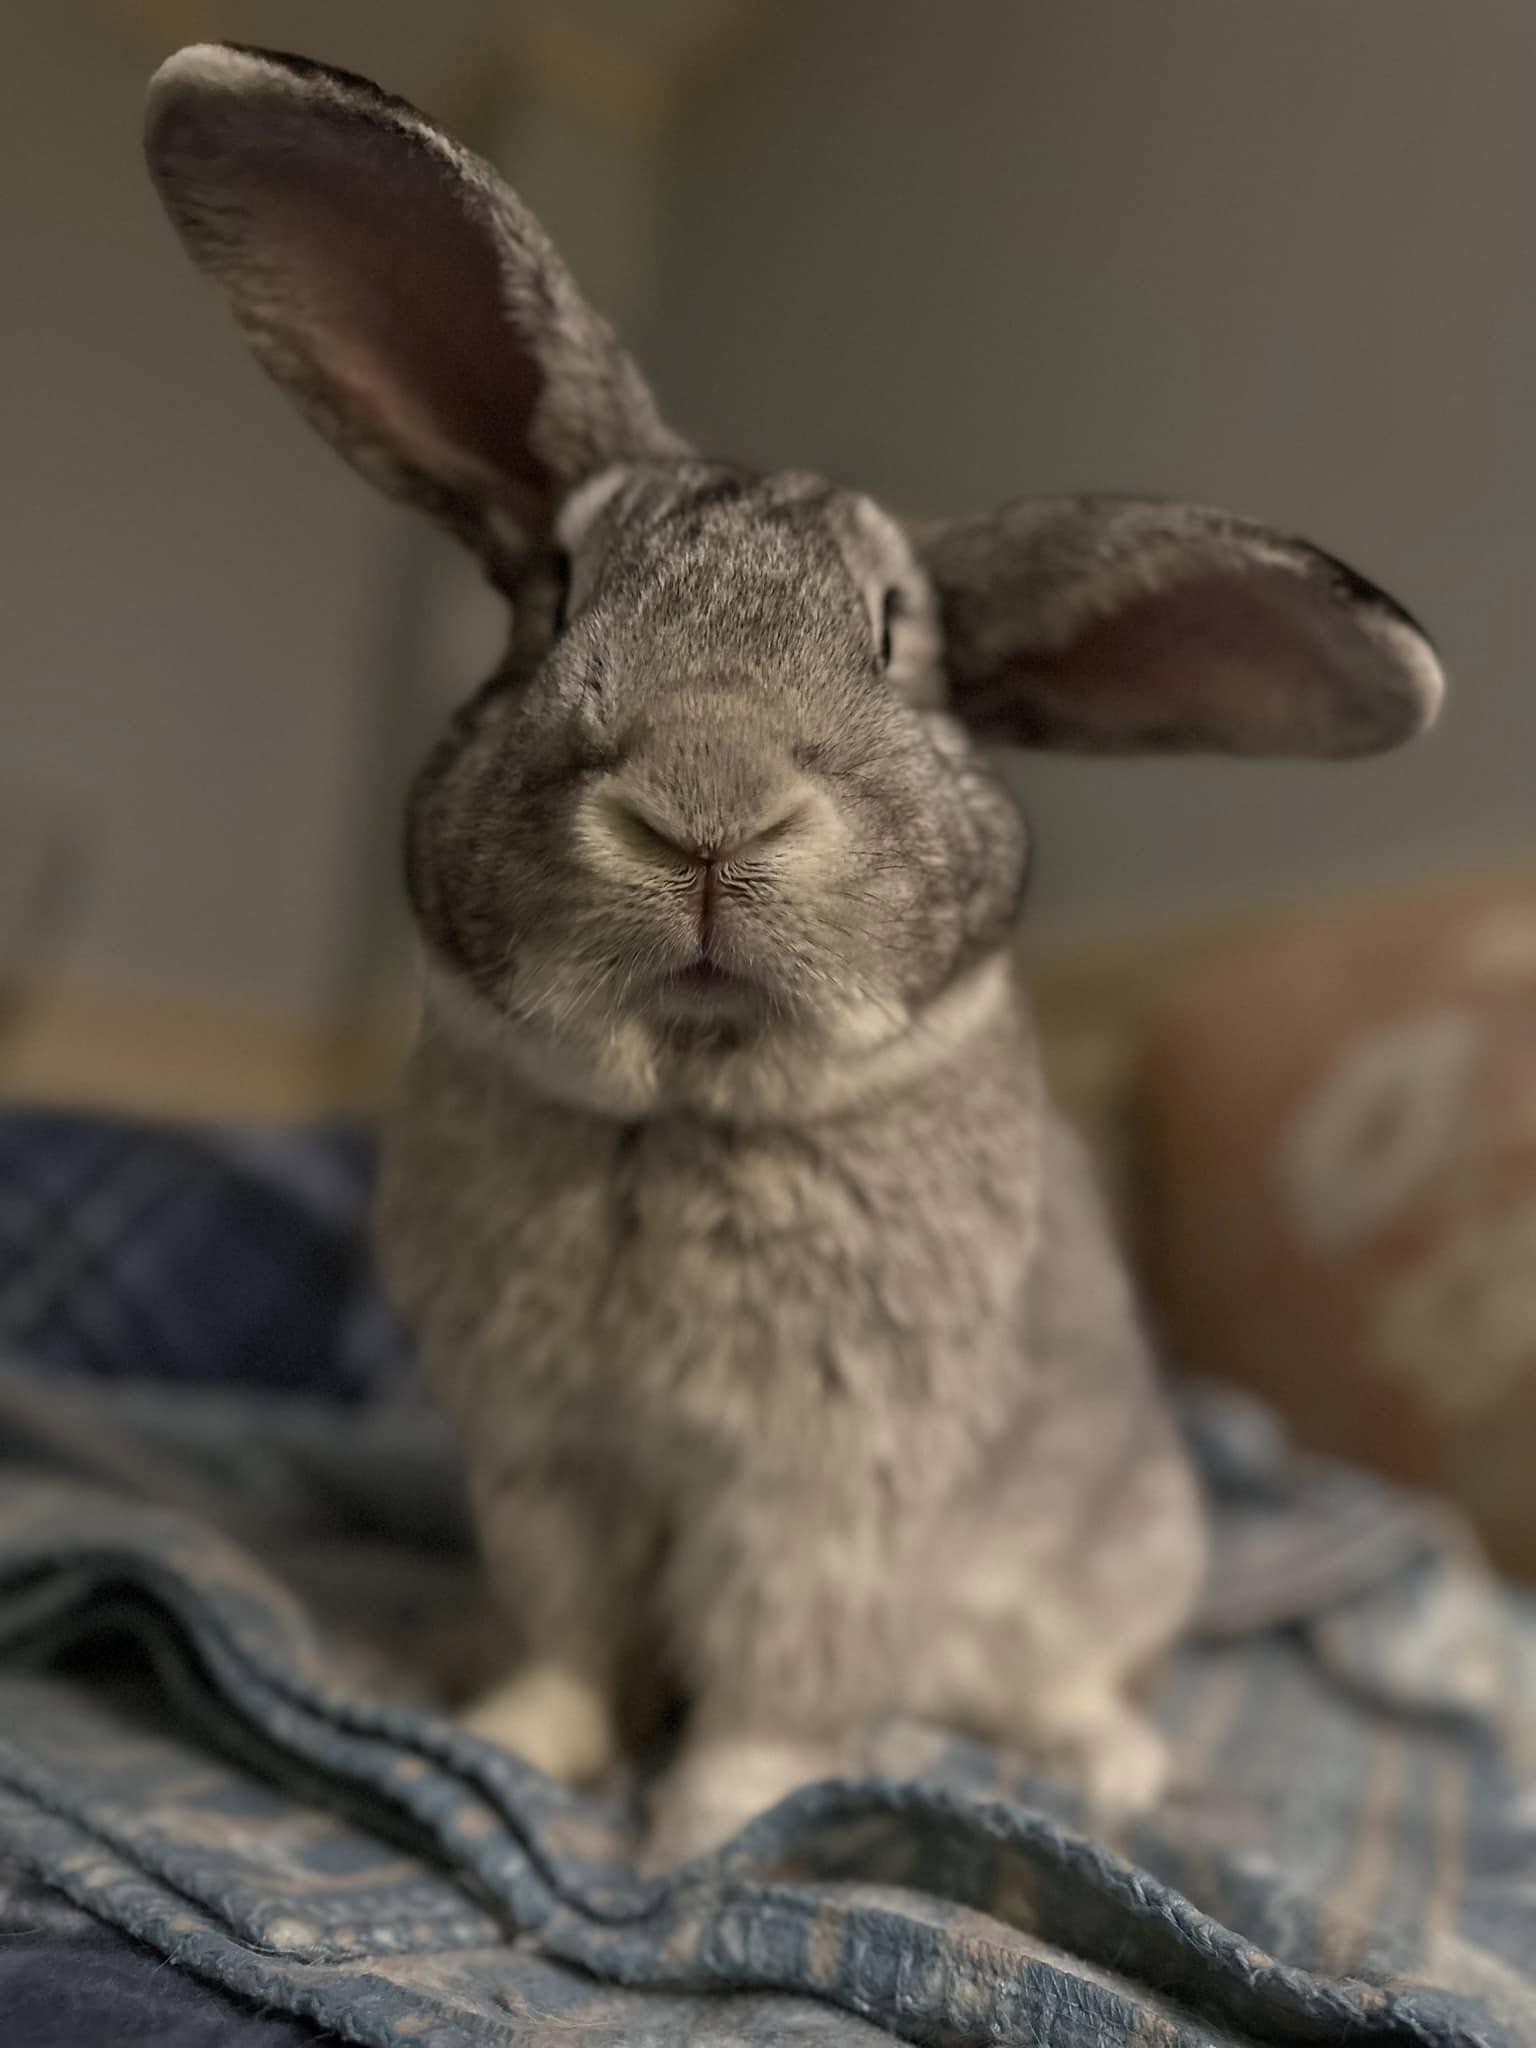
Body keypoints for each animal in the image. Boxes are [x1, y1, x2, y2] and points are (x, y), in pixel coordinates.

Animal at [144, 44, 1445, 1867]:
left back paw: (1109, 1768)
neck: (681, 1109)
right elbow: (566, 1639)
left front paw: (701, 1836)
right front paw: (509, 1749)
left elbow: (776, 1683)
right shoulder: (545, 1466)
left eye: (894, 640)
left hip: (1121, 1554)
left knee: (1071, 1682)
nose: (705, 807)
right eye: (556, 594)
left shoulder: (830, 1495)